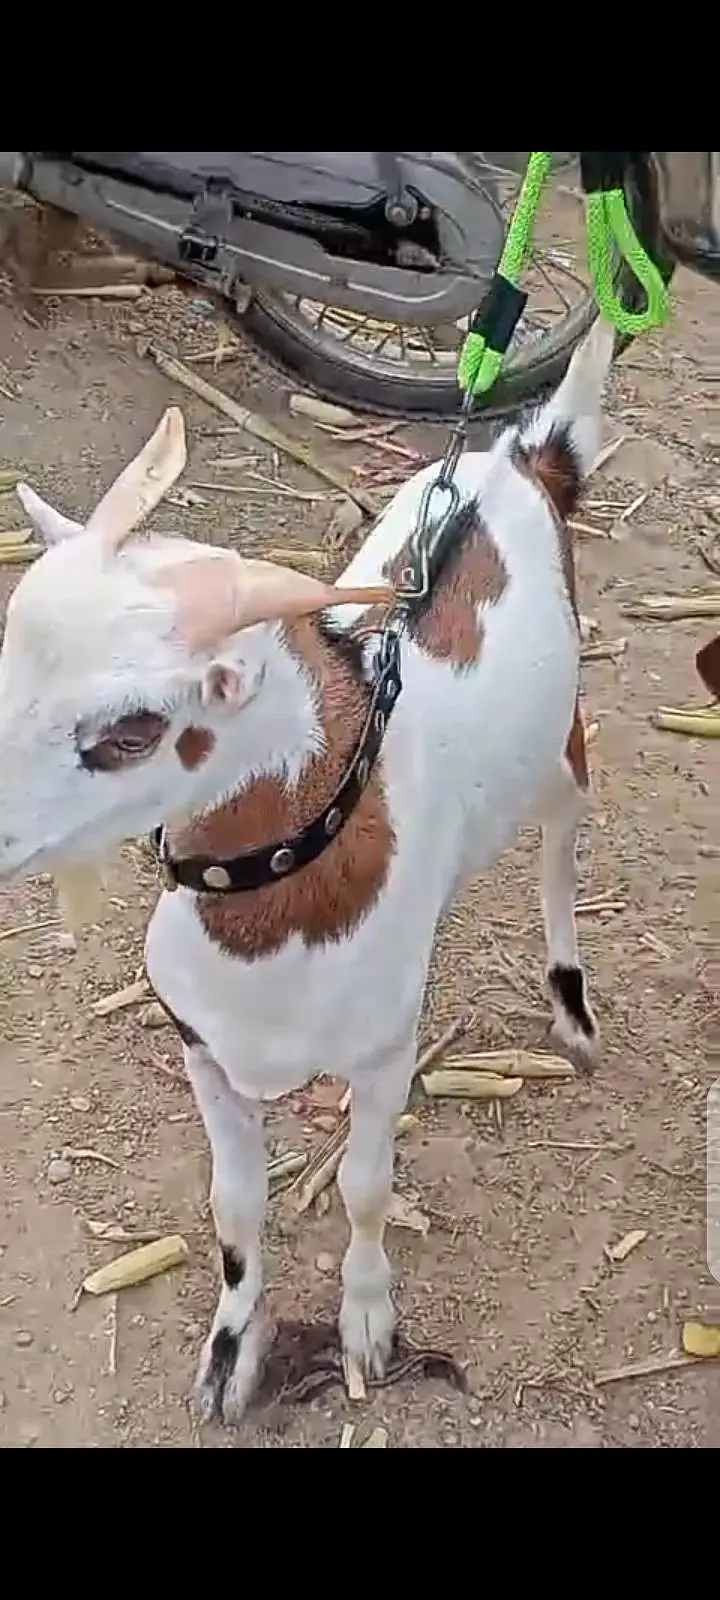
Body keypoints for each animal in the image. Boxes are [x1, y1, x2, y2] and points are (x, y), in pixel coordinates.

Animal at [0, 316, 614, 1424]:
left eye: (132, 732)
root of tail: (522, 456)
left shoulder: (381, 1053)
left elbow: (367, 1185)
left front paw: (368, 1322)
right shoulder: (205, 1054)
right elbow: (234, 1208)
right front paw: (231, 1356)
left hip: (563, 749)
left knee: (560, 842)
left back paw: (570, 1002)